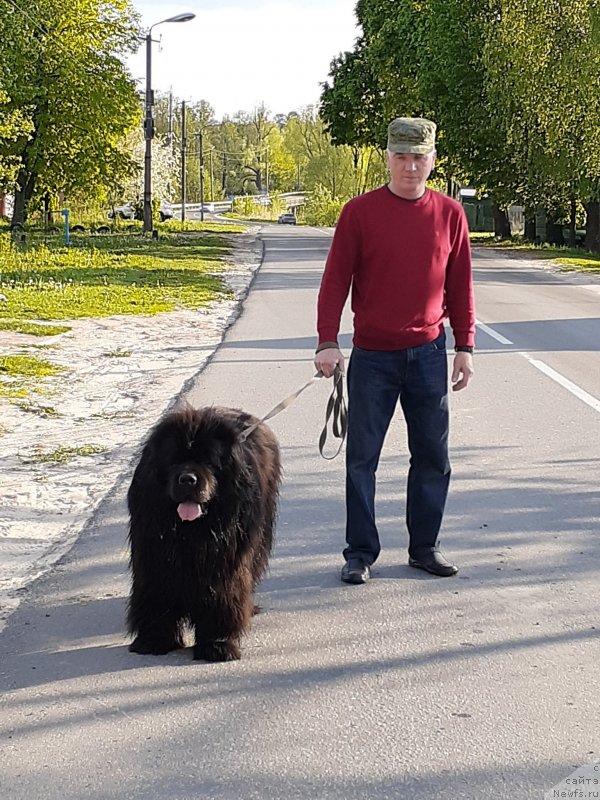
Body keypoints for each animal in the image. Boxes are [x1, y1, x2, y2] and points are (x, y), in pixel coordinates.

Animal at [126, 406, 282, 664]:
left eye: (208, 461)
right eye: (174, 460)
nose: (187, 479)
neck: (190, 533)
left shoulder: (225, 565)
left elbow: (222, 598)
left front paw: (217, 643)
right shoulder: (154, 557)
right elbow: (155, 594)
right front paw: (154, 640)